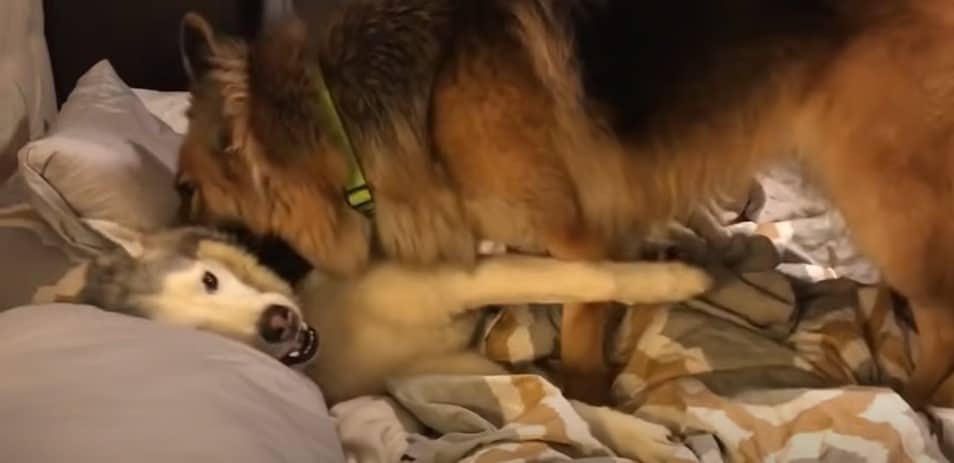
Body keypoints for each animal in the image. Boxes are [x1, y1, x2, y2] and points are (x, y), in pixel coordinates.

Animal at [173, 0, 954, 406]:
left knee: (942, 321)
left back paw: (911, 396)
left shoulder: (578, 237)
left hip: (885, 199)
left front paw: (586, 392)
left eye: (186, 189)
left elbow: (584, 310)